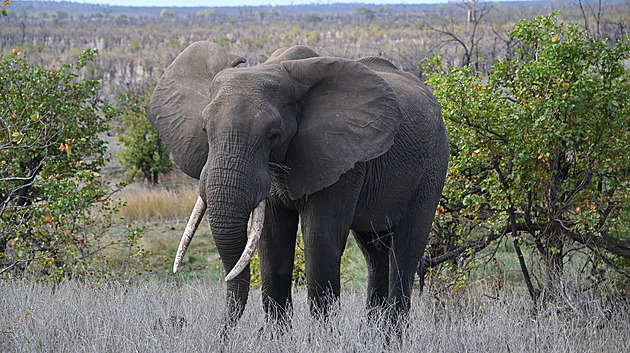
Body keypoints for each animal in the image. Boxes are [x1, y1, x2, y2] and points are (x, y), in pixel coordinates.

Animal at [148, 42, 452, 330]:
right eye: (204, 129)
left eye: (274, 134)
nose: (223, 333)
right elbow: (273, 244)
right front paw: (278, 340)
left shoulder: (342, 159)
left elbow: (320, 240)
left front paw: (322, 340)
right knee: (374, 253)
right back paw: (373, 336)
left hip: (432, 168)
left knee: (404, 252)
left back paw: (391, 337)